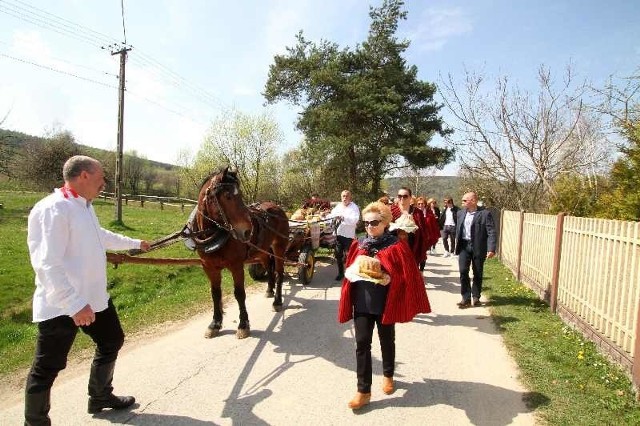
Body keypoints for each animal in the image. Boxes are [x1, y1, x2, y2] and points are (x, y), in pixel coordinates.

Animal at [191, 168, 288, 338]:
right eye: (228, 196)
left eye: (240, 195)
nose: (247, 231)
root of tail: (277, 207)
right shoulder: (209, 268)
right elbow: (215, 293)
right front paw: (215, 323)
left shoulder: (236, 266)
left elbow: (239, 293)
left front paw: (243, 324)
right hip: (261, 251)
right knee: (269, 269)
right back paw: (269, 290)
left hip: (279, 248)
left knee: (279, 273)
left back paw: (277, 301)